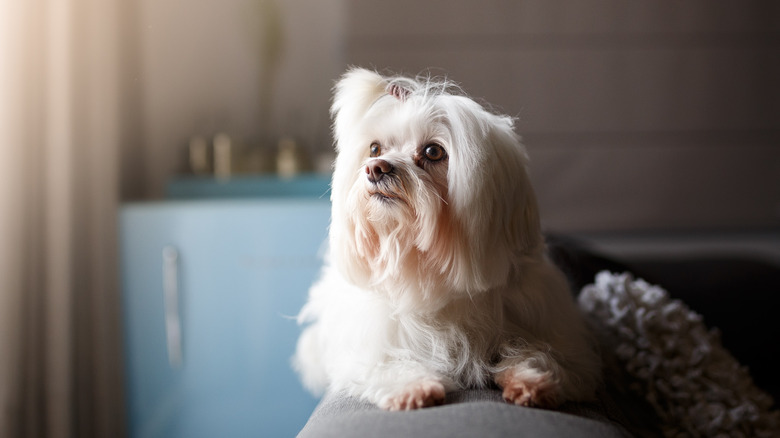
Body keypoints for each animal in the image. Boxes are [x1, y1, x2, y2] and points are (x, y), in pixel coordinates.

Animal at [294, 68, 604, 410]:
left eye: (433, 152)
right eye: (375, 149)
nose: (375, 168)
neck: (428, 271)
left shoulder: (556, 333)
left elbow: (545, 354)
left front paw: (532, 379)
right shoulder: (367, 343)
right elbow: (382, 361)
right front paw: (413, 385)